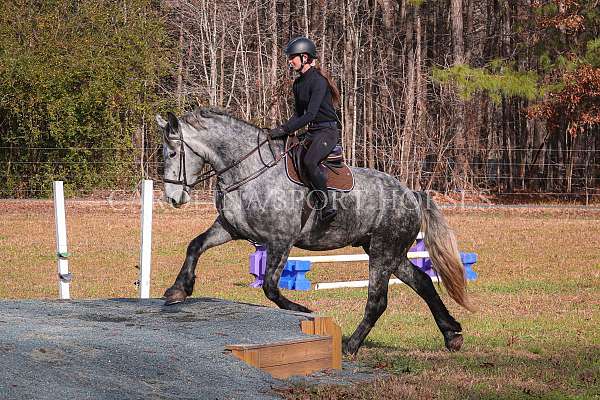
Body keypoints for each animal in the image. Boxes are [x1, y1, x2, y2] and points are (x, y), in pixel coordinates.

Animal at [156, 108, 474, 354]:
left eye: (172, 152)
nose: (173, 198)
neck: (247, 170)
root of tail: (410, 193)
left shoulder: (280, 241)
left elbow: (271, 287)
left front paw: (303, 311)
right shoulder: (230, 229)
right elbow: (195, 245)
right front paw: (178, 289)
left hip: (383, 252)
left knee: (377, 301)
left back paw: (351, 346)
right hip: (388, 251)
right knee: (423, 281)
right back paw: (452, 334)